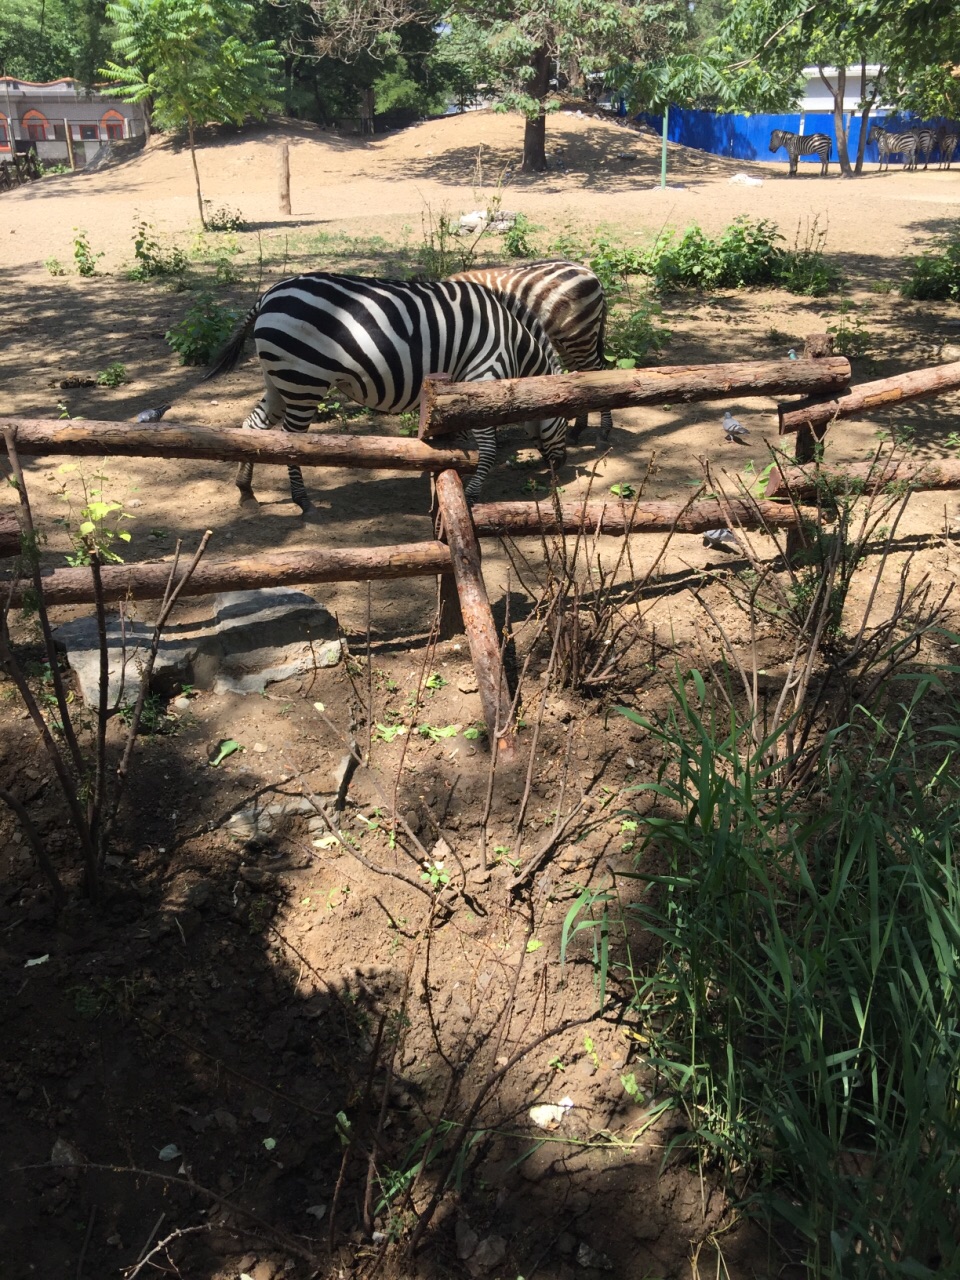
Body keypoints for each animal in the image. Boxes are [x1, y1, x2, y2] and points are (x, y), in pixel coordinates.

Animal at [199, 272, 568, 512]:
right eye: (567, 416)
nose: (561, 467)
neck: (515, 344)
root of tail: (268, 294)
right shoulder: (482, 376)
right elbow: (488, 450)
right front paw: (471, 497)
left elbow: (455, 440)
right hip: (303, 378)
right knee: (291, 439)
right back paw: (302, 500)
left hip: (277, 377)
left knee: (254, 427)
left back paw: (246, 491)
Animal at [448, 254, 611, 445]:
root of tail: (589, 271)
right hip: (563, 339)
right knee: (578, 373)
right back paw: (577, 430)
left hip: (579, 335)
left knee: (598, 371)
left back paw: (604, 431)